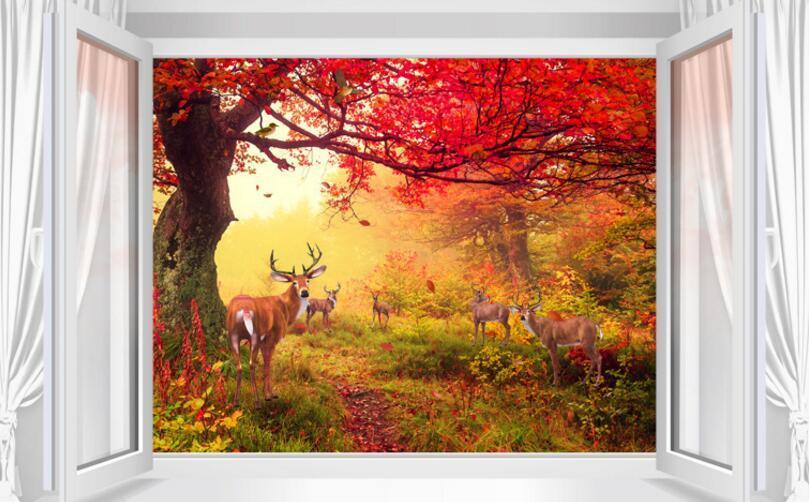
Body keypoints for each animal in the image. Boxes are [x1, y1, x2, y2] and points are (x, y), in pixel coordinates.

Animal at [225, 243, 326, 406]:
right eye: (294, 282)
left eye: (308, 280)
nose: (304, 292)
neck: (285, 309)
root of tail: (244, 309)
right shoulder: (272, 336)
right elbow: (268, 365)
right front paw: (269, 394)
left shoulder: (263, 340)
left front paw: (267, 392)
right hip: (255, 334)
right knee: (251, 363)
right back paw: (257, 401)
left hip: (233, 334)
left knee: (239, 365)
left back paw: (236, 401)